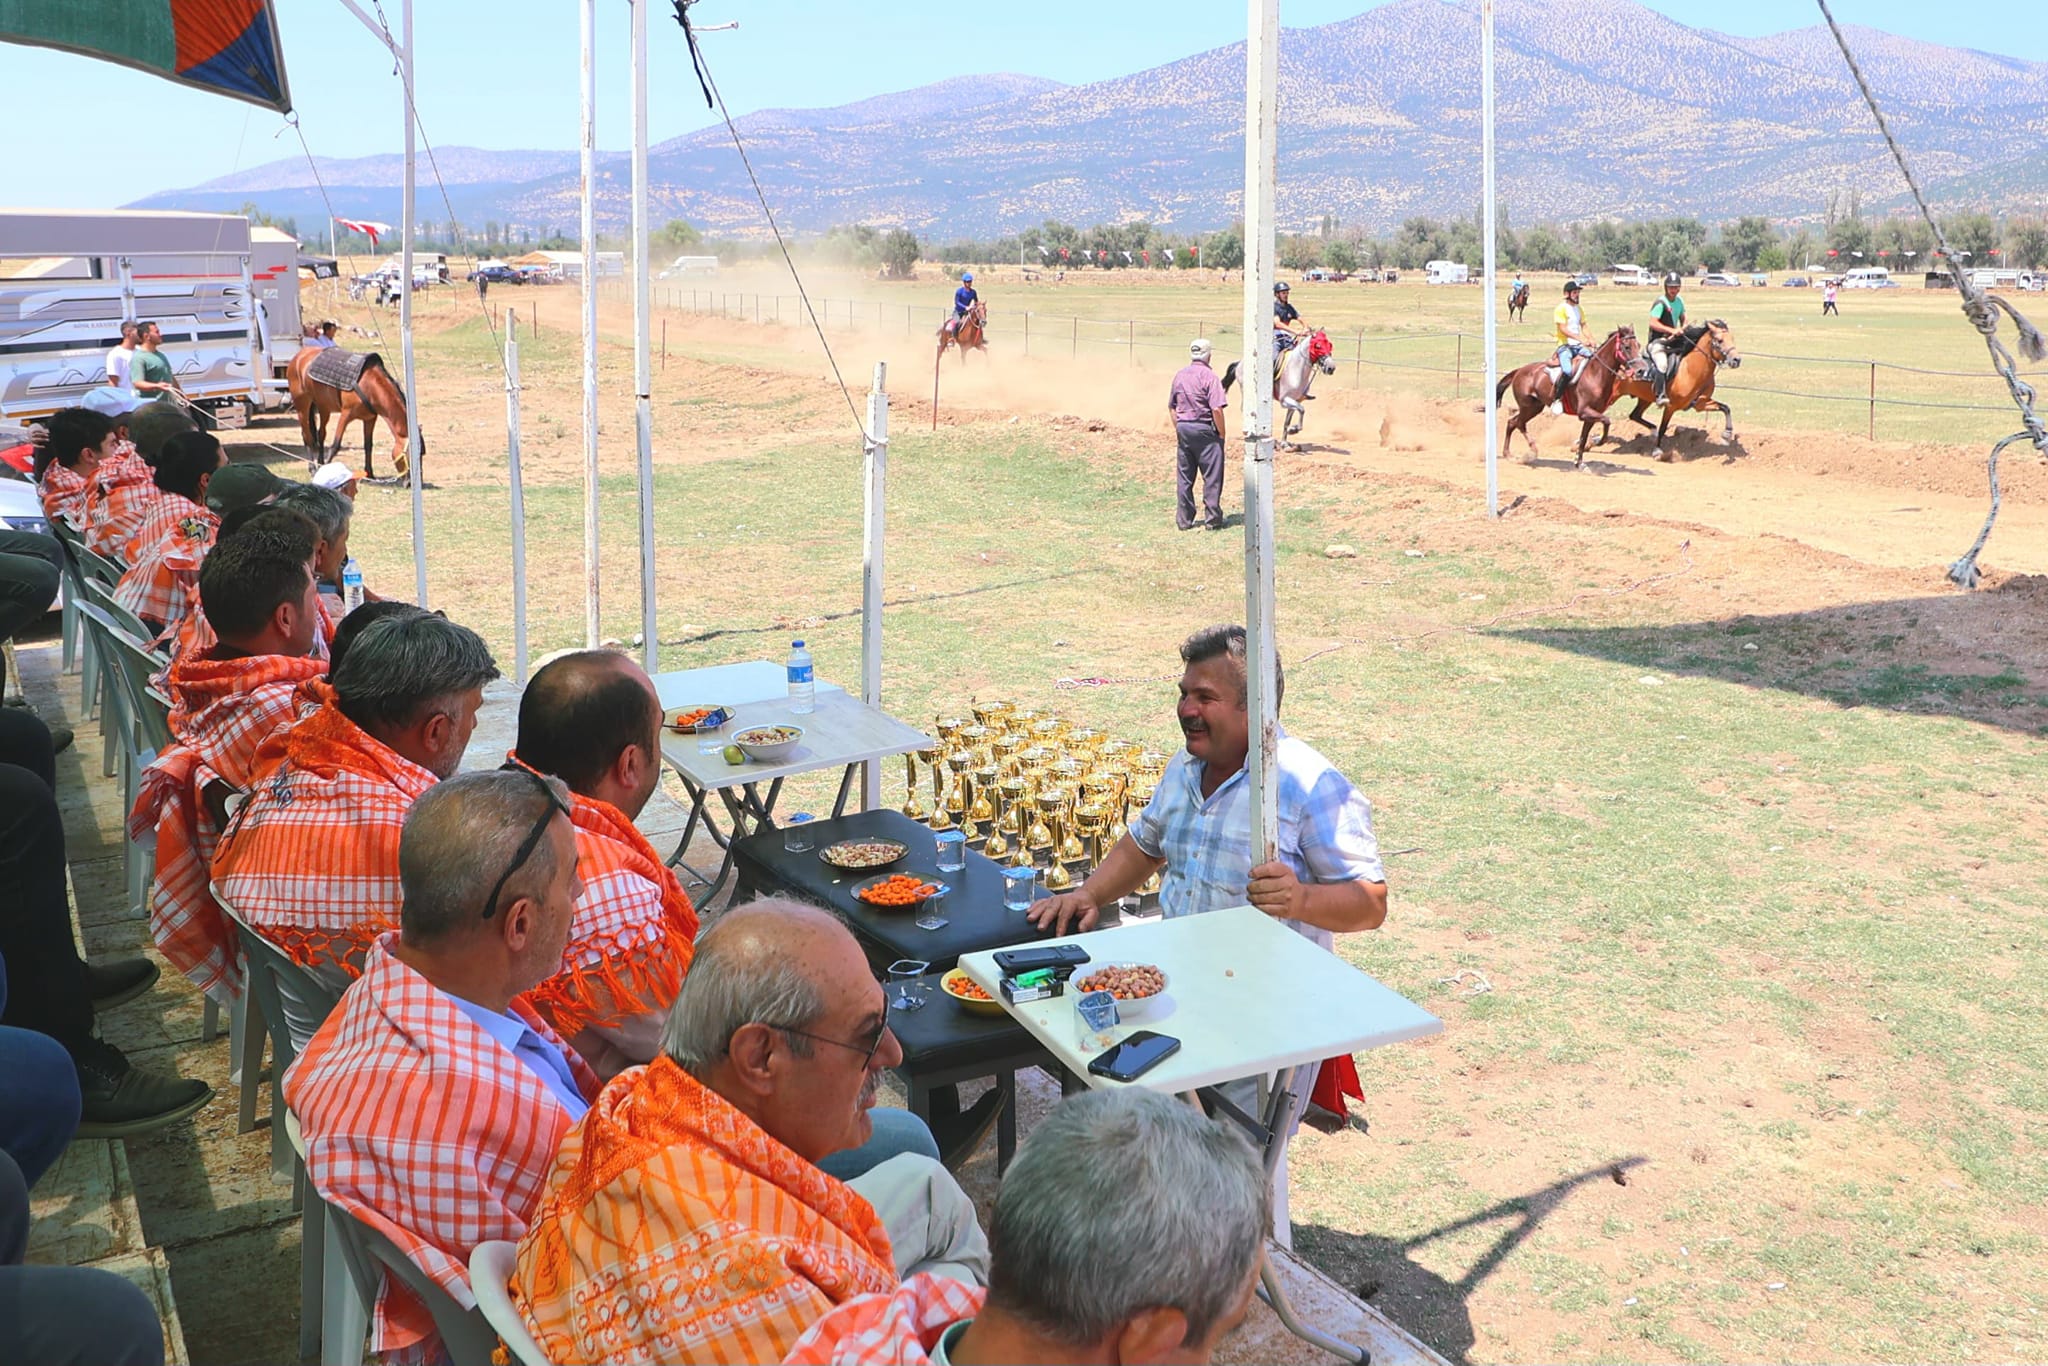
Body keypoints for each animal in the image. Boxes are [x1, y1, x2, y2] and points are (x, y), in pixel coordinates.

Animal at [284, 348, 419, 481]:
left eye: (421, 453)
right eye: (410, 455)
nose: (410, 483)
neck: (368, 385)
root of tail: (298, 356)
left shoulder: (370, 419)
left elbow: (368, 445)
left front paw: (369, 473)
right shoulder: (346, 415)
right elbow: (336, 445)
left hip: (323, 407)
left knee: (321, 434)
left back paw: (320, 463)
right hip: (302, 406)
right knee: (307, 437)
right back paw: (312, 468)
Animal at [1499, 327, 1638, 471]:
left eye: (1638, 345)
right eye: (1627, 347)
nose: (1638, 369)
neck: (1595, 374)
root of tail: (1519, 371)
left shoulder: (1591, 416)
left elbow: (1583, 437)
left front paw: (1579, 463)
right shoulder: (1584, 412)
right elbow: (1606, 421)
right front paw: (1598, 441)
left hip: (1534, 407)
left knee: (1512, 423)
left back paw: (1509, 454)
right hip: (1527, 407)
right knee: (1518, 423)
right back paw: (1530, 451)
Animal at [1613, 321, 1744, 464]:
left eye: (1732, 338)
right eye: (1720, 340)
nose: (1736, 360)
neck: (1690, 371)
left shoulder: (1701, 403)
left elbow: (1725, 408)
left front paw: (1727, 435)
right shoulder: (1671, 406)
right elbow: (1663, 428)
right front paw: (1657, 452)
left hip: (1644, 399)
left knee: (1634, 415)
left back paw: (1652, 431)